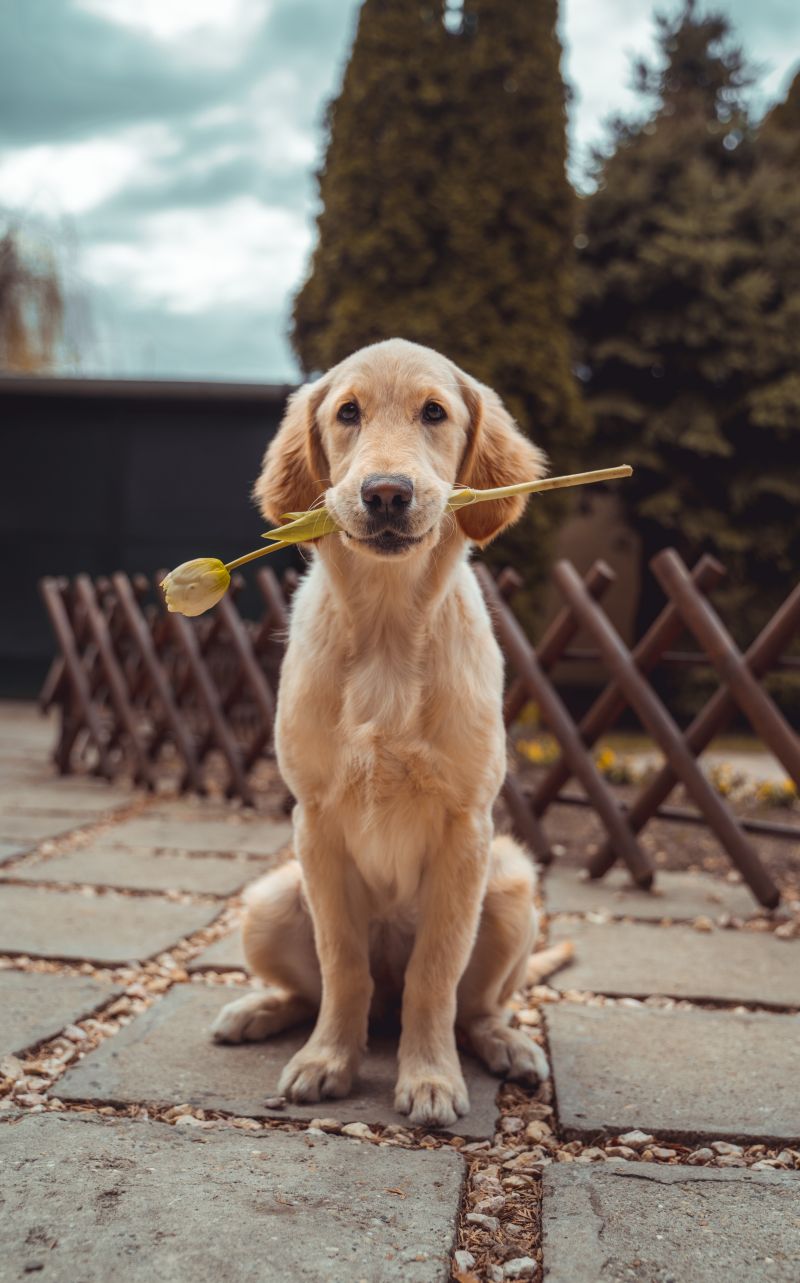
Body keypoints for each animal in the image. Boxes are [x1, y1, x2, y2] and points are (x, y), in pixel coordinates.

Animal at [208, 338, 553, 1123]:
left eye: (434, 412)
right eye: (347, 413)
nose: (387, 493)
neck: (391, 631)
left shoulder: (467, 828)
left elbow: (436, 972)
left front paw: (428, 1077)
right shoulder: (316, 822)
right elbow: (343, 965)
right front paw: (328, 1061)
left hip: (512, 885)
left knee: (473, 1005)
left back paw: (505, 1044)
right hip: (270, 900)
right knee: (319, 991)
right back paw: (259, 1010)